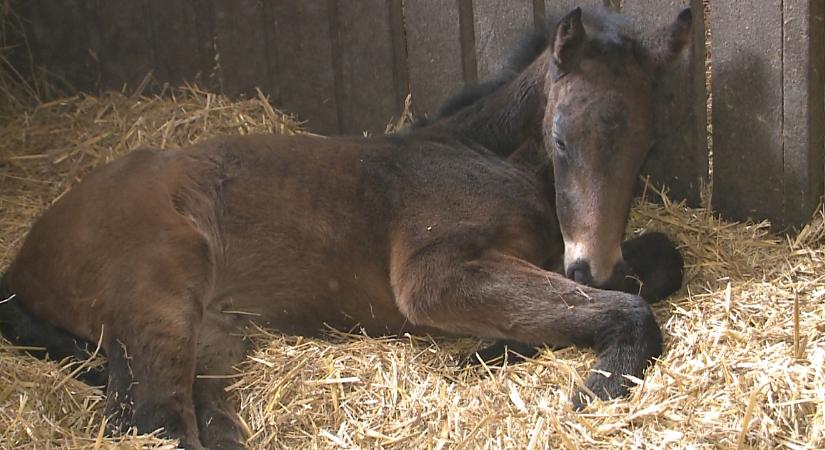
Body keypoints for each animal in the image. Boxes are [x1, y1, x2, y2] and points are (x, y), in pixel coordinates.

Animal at [1, 7, 688, 450]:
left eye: (648, 147)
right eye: (562, 139)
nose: (591, 263)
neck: (479, 154)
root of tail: (22, 256)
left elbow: (661, 262)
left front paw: (494, 347)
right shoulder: (432, 277)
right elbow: (626, 307)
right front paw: (591, 380)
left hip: (212, 333)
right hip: (161, 297)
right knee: (156, 422)